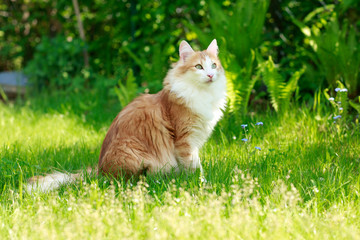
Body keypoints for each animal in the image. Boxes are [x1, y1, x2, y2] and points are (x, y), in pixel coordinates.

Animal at [26, 39, 226, 191]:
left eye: (214, 65)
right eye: (198, 66)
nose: (210, 75)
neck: (203, 94)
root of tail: (99, 171)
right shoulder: (185, 141)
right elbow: (194, 166)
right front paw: (201, 184)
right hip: (133, 151)